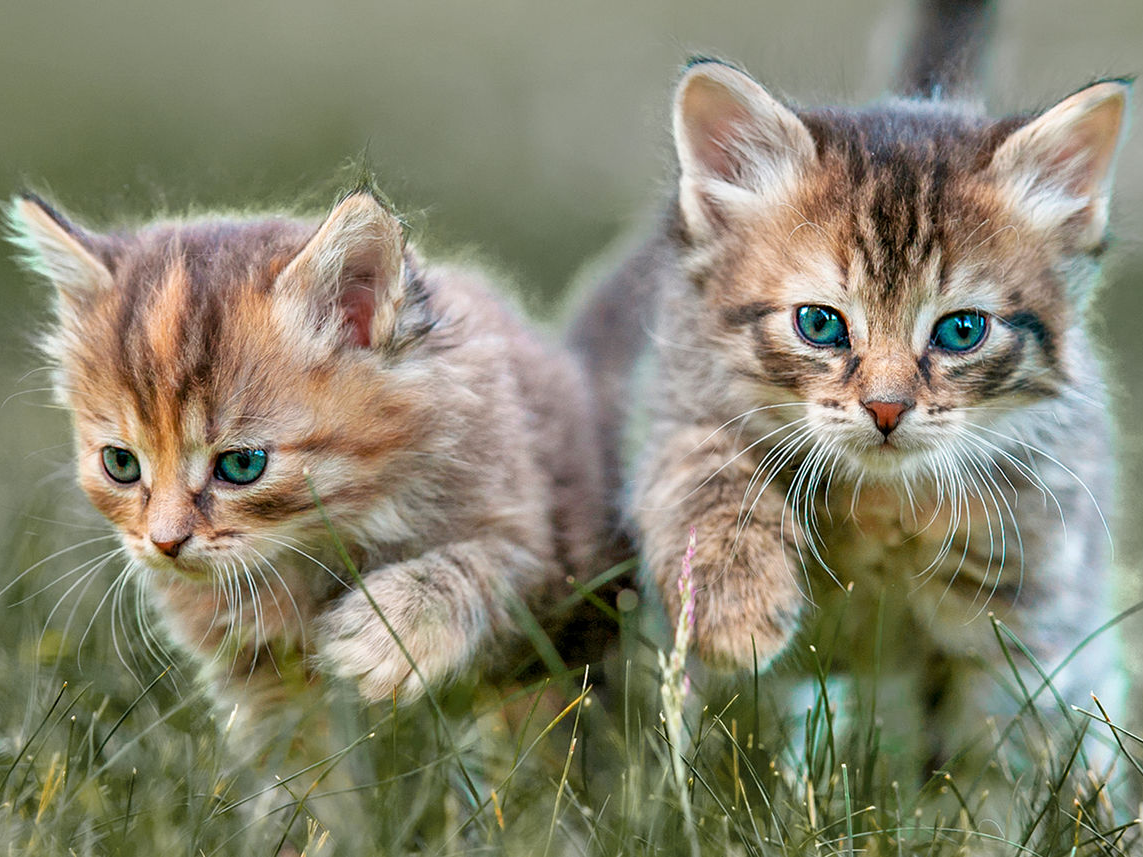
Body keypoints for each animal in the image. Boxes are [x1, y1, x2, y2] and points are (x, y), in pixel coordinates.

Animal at [8, 187, 612, 726]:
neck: (322, 542)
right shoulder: (257, 673)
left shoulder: (548, 553)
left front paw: (387, 632)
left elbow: (479, 566)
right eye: (121, 464)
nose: (164, 543)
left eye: (242, 465)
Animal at [576, 5, 1129, 758]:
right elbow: (698, 471)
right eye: (819, 323)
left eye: (962, 330)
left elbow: (1006, 751)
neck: (883, 505)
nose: (886, 409)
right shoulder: (676, 391)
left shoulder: (1033, 603)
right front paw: (736, 604)